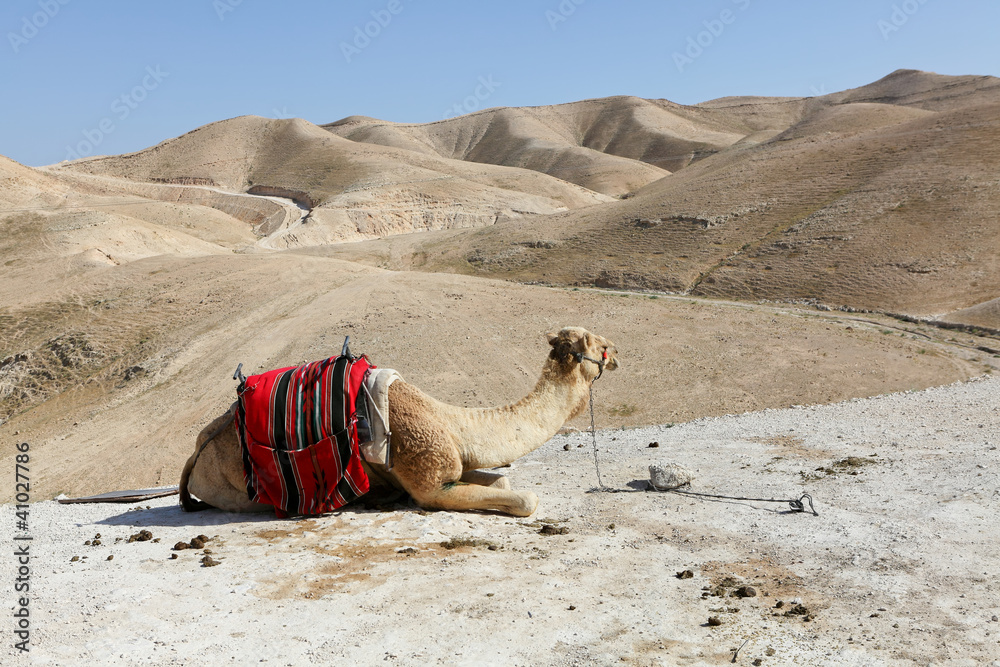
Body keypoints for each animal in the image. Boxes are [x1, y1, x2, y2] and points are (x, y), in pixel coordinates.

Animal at [179, 327, 619, 517]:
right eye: (599, 344)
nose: (618, 352)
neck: (453, 422)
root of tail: (196, 452)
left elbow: (503, 481)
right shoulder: (431, 484)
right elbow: (525, 500)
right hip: (234, 490)